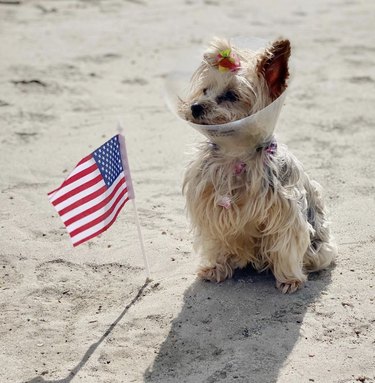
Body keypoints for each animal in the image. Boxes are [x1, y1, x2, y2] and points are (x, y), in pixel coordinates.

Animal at [179, 37, 338, 294]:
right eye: (205, 90)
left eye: (231, 95)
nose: (195, 107)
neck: (235, 153)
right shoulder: (210, 210)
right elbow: (216, 240)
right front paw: (215, 268)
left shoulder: (286, 215)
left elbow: (286, 246)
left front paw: (289, 279)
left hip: (321, 247)